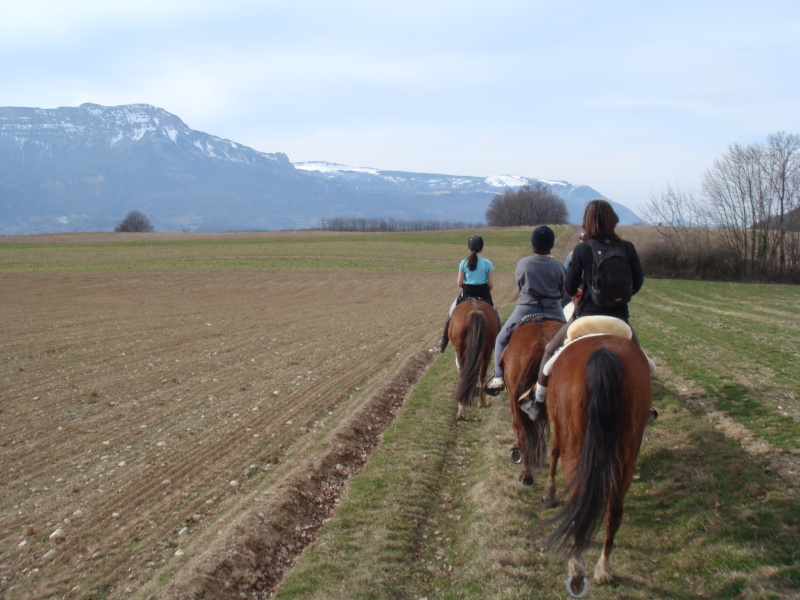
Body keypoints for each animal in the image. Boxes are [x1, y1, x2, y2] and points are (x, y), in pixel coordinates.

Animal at [540, 330, 652, 588]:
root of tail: (605, 355)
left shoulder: (557, 423)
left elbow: (553, 452)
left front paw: (549, 493)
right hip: (627, 451)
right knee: (615, 508)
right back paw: (603, 568)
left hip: (574, 442)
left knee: (578, 496)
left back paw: (576, 565)